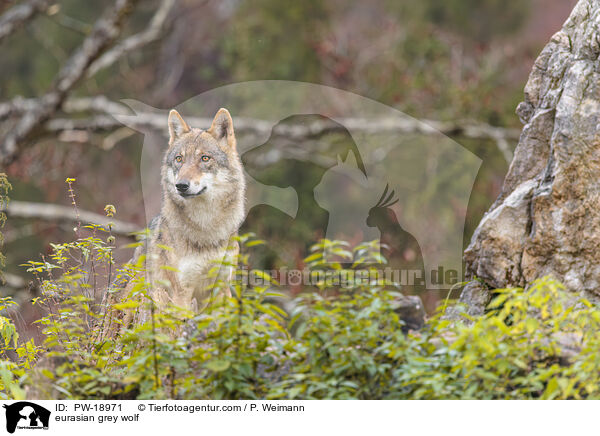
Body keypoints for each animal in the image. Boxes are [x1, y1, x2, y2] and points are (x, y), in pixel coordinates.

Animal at [115, 108, 246, 320]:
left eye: (205, 158)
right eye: (179, 159)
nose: (181, 185)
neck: (206, 227)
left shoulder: (221, 289)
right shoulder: (181, 293)